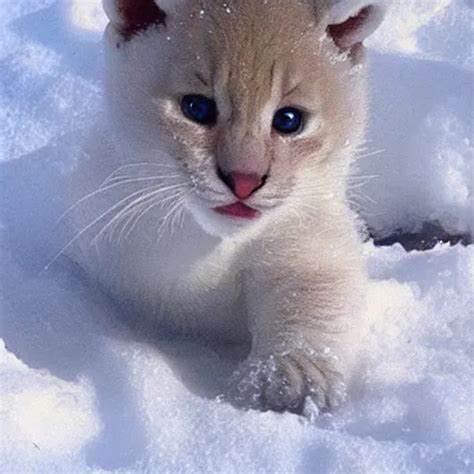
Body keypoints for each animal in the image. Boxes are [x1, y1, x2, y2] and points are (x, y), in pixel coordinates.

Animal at [60, 0, 386, 412]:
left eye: (289, 120)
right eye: (197, 108)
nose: (244, 180)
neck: (202, 245)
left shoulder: (310, 240)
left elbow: (311, 299)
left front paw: (287, 373)